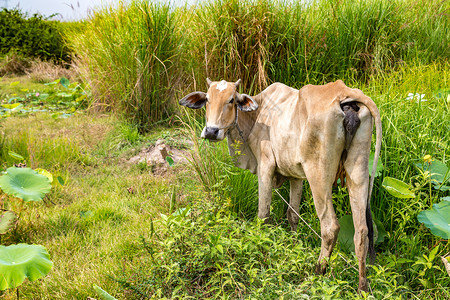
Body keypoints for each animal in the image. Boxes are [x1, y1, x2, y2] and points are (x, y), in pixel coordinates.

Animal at [178, 78, 382, 290]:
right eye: (207, 99)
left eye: (231, 100)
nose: (211, 131)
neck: (257, 114)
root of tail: (344, 94)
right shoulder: (296, 176)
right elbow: (292, 215)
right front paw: (293, 246)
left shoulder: (265, 166)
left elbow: (263, 215)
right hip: (358, 170)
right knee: (362, 232)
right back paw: (362, 287)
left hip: (318, 174)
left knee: (330, 227)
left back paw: (318, 273)